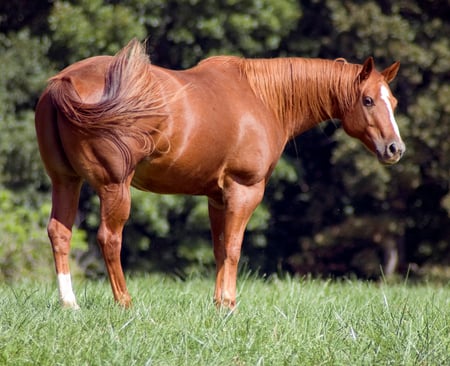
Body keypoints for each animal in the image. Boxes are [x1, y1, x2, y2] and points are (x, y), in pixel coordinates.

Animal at [35, 39, 404, 308]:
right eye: (368, 100)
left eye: (394, 102)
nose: (395, 149)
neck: (262, 98)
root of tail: (64, 81)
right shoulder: (245, 189)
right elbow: (234, 248)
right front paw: (229, 303)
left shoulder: (216, 195)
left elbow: (219, 247)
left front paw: (217, 302)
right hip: (115, 187)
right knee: (109, 239)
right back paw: (124, 302)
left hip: (65, 181)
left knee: (59, 233)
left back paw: (69, 304)